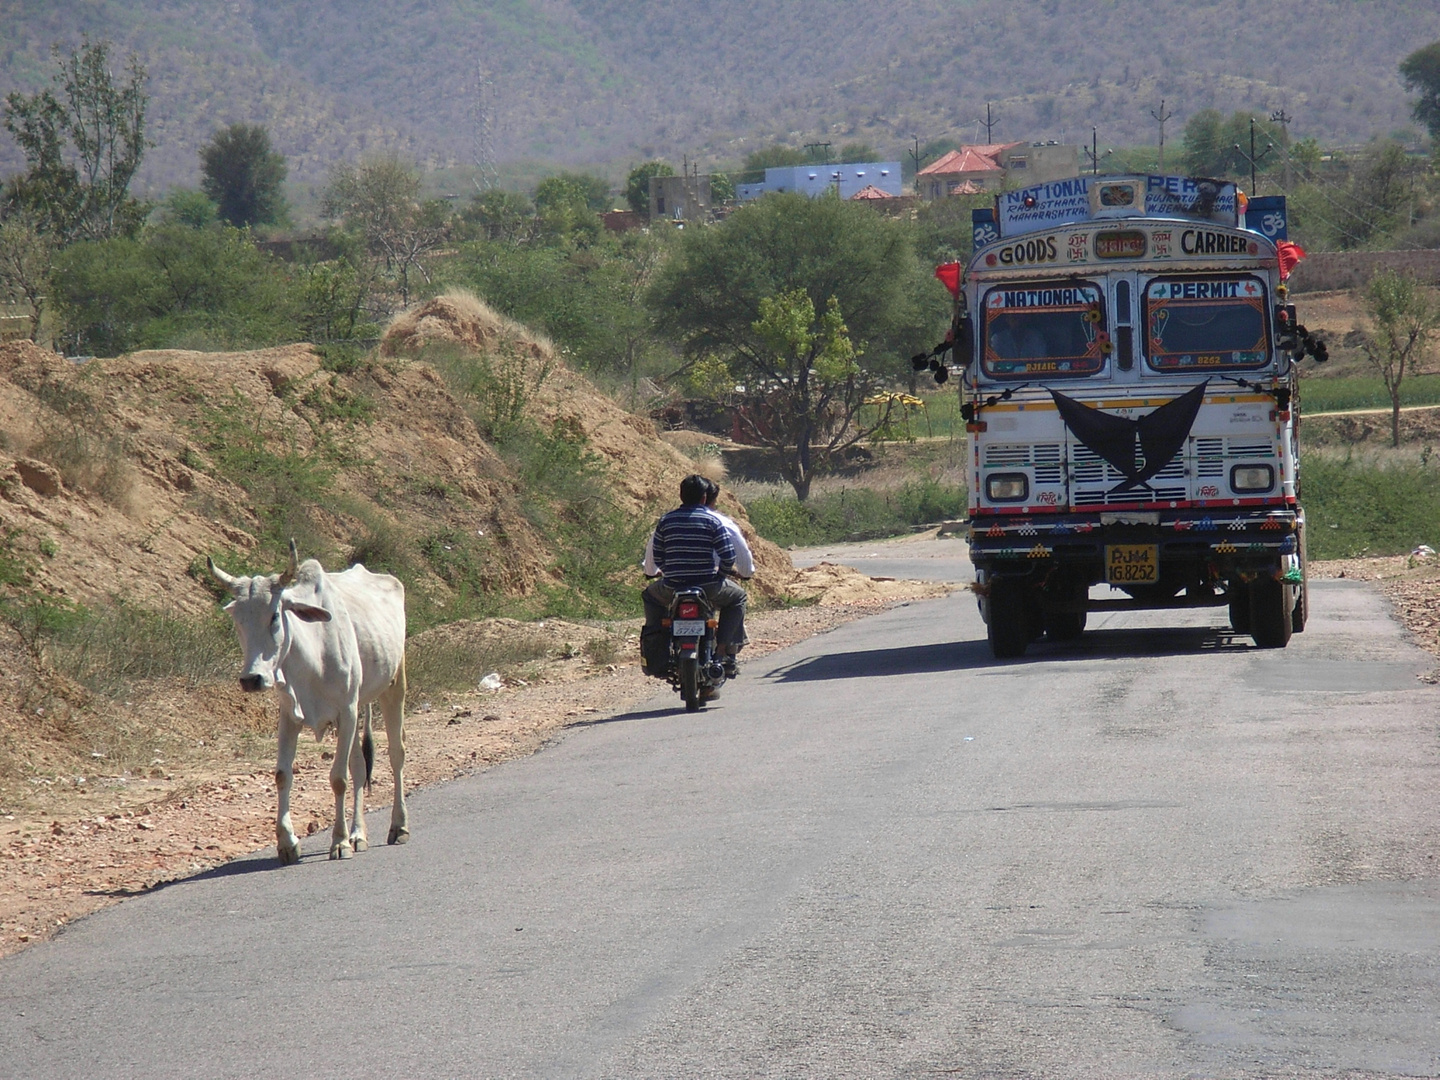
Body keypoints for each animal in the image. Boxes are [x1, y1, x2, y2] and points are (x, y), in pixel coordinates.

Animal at [205, 544, 406, 869]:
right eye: (237, 618)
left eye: (275, 615)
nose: (251, 679)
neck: (312, 656)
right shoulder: (290, 716)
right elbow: (282, 775)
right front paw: (288, 844)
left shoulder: (346, 711)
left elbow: (338, 778)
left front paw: (339, 842)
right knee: (360, 766)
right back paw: (358, 835)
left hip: (393, 686)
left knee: (396, 754)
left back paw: (398, 827)